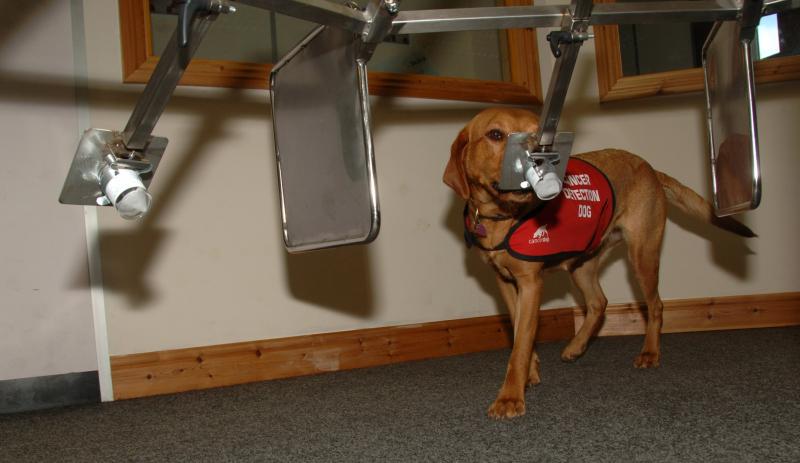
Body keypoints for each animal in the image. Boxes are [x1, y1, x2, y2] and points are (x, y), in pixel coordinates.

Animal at [443, 108, 755, 419]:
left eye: (543, 137)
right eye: (495, 134)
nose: (536, 159)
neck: (501, 217)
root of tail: (650, 169)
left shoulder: (531, 283)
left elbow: (521, 344)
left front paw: (509, 397)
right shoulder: (506, 282)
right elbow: (520, 333)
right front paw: (529, 374)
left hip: (642, 257)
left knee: (655, 306)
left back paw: (650, 352)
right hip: (582, 264)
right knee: (598, 303)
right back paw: (577, 345)